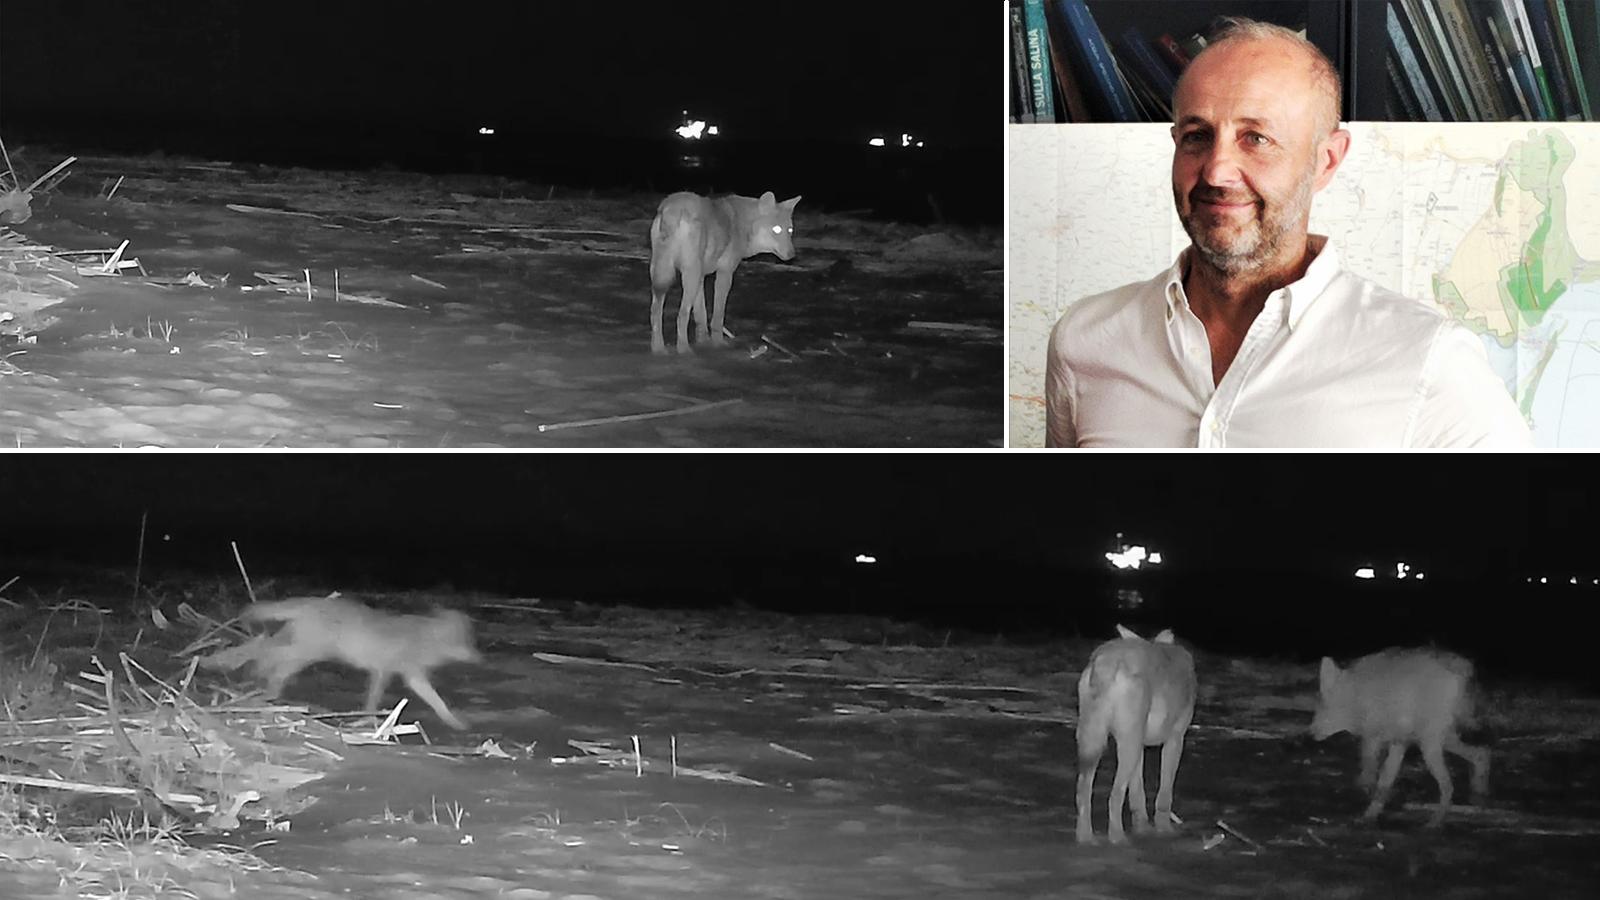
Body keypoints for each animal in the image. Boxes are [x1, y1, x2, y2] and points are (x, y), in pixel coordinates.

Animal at [206, 595, 480, 730]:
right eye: (466, 642)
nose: (481, 657)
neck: (424, 639)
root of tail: (315, 600)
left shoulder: (411, 676)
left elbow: (438, 702)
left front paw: (454, 723)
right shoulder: (384, 671)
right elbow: (372, 701)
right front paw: (366, 721)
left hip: (301, 650)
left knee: (263, 652)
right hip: (306, 651)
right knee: (266, 654)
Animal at [646, 188, 800, 353]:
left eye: (790, 230)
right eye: (776, 229)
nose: (792, 254)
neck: (743, 224)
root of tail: (672, 208)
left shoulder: (701, 276)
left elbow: (700, 315)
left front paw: (703, 341)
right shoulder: (725, 273)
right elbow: (717, 315)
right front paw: (718, 342)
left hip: (664, 274)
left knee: (655, 312)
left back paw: (658, 349)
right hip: (688, 276)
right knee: (682, 315)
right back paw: (683, 349)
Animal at [1081, 624, 1196, 839]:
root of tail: (1106, 659)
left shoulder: (1140, 744)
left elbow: (1137, 794)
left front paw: (1142, 827)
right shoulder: (1175, 739)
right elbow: (1164, 794)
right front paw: (1163, 829)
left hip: (1096, 743)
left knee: (1083, 794)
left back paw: (1086, 839)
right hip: (1127, 746)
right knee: (1114, 796)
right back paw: (1117, 839)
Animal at [1312, 643, 1484, 826]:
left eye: (1322, 705)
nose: (1310, 731)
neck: (1357, 695)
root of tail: (1461, 671)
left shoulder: (1373, 739)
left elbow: (1370, 776)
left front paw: (1365, 805)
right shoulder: (1398, 743)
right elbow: (1384, 783)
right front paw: (1370, 815)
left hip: (1430, 746)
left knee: (1448, 785)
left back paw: (1434, 823)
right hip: (1443, 741)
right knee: (1482, 754)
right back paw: (1479, 794)